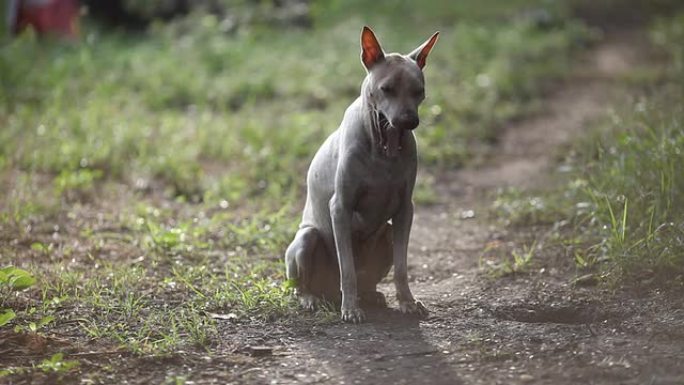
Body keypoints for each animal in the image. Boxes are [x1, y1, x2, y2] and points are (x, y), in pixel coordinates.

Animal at [284, 25, 438, 322]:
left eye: (419, 91)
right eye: (386, 89)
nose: (409, 121)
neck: (384, 147)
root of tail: (328, 293)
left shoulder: (405, 209)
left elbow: (402, 268)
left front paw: (407, 302)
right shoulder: (340, 208)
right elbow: (347, 269)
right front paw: (351, 310)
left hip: (387, 234)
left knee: (368, 278)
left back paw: (371, 295)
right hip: (306, 240)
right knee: (304, 284)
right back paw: (314, 299)